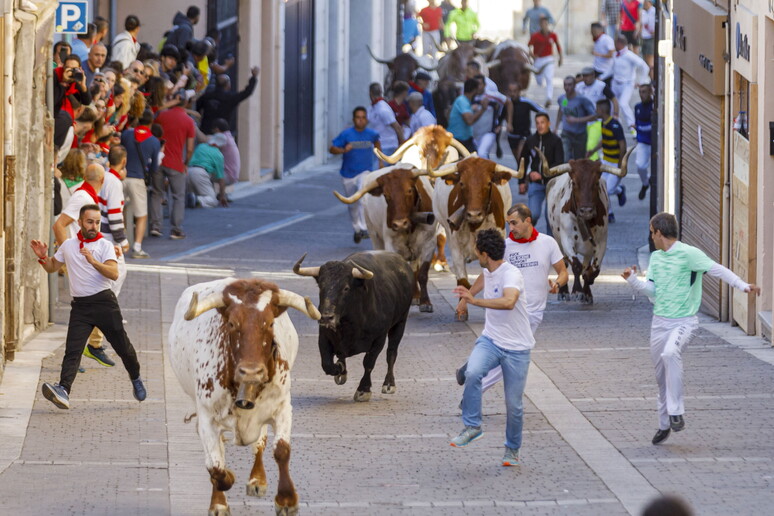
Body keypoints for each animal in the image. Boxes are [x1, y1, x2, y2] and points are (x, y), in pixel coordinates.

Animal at [292, 250, 416, 404]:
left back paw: (389, 384)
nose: (326, 317)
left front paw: (363, 390)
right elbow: (327, 364)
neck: (349, 323)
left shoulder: (378, 339)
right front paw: (340, 370)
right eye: (321, 286)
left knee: (391, 353)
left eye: (346, 288)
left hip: (400, 323)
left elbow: (368, 363)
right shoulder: (324, 336)